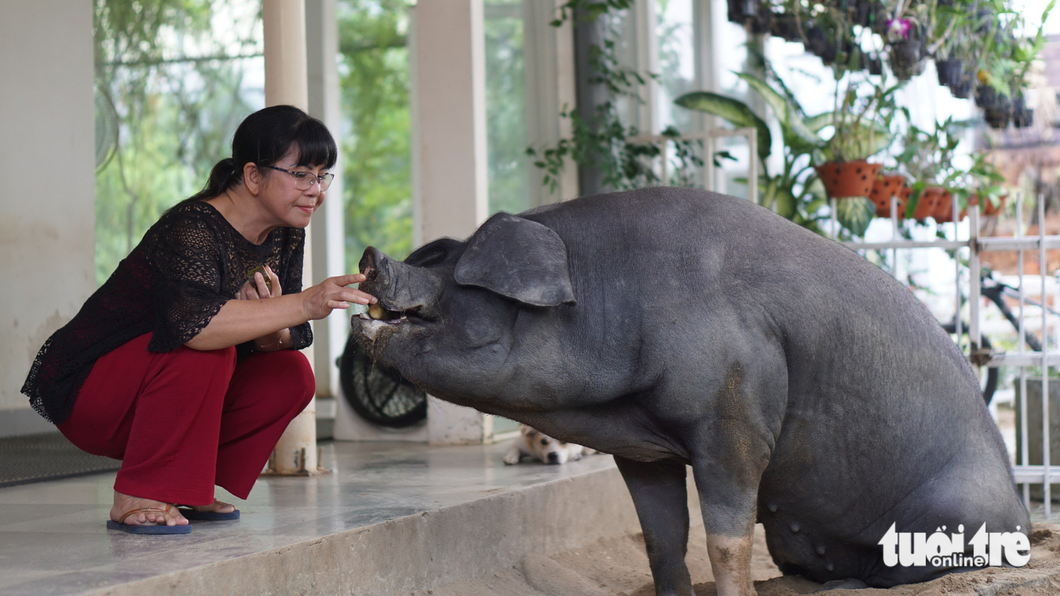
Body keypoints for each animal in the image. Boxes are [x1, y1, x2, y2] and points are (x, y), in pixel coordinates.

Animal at [351, 186, 1030, 593]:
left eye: (451, 269)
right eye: (439, 254)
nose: (370, 254)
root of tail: (1022, 516)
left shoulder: (735, 419)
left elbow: (725, 539)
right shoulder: (640, 448)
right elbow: (661, 538)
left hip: (956, 513)